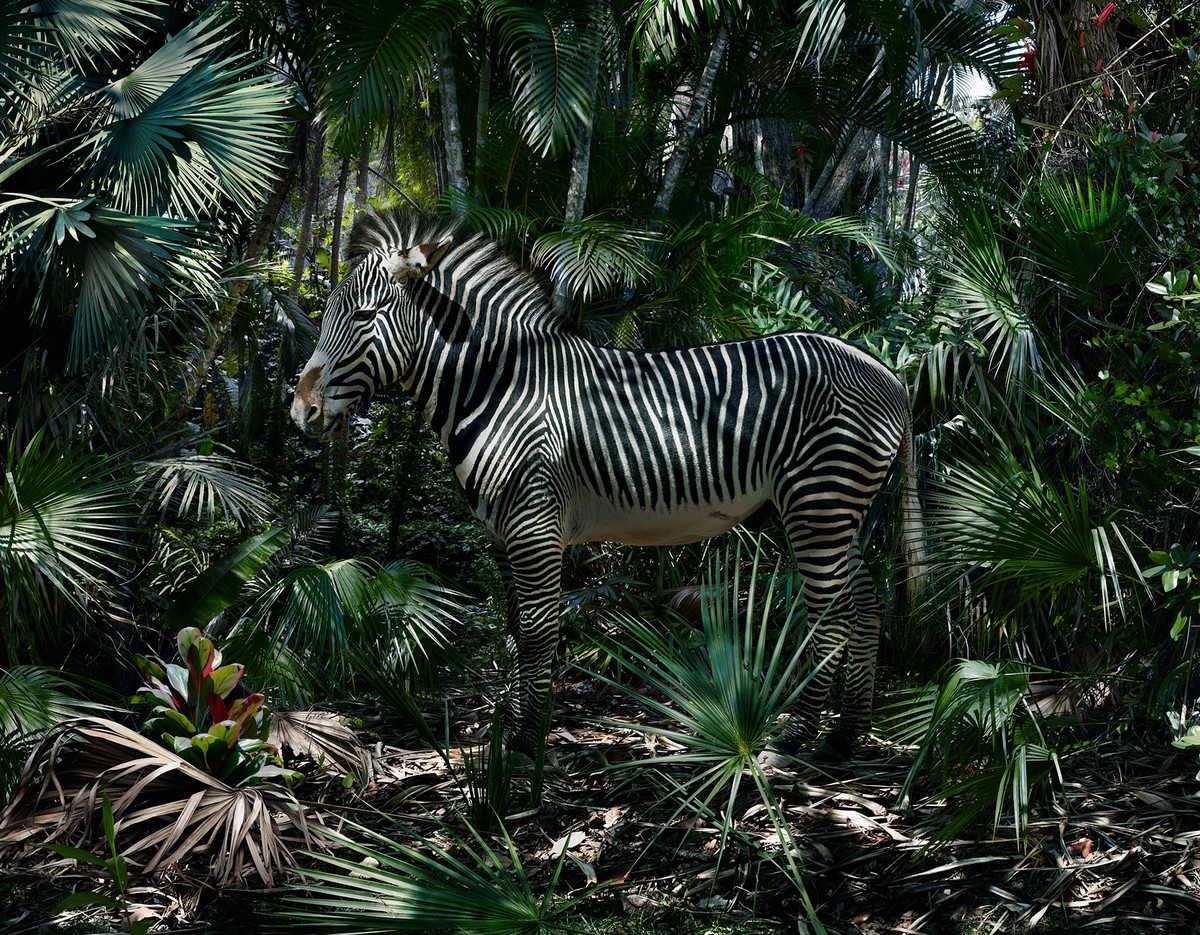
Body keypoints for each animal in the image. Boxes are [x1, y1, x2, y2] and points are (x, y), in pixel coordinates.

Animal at [290, 210, 926, 758]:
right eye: (329, 315)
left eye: (364, 317)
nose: (300, 412)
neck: (497, 385)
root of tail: (888, 373)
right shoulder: (503, 532)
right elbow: (517, 631)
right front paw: (511, 733)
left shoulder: (533, 523)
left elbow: (539, 631)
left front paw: (526, 743)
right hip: (832, 511)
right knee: (866, 602)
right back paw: (846, 735)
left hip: (819, 499)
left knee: (833, 613)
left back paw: (798, 736)